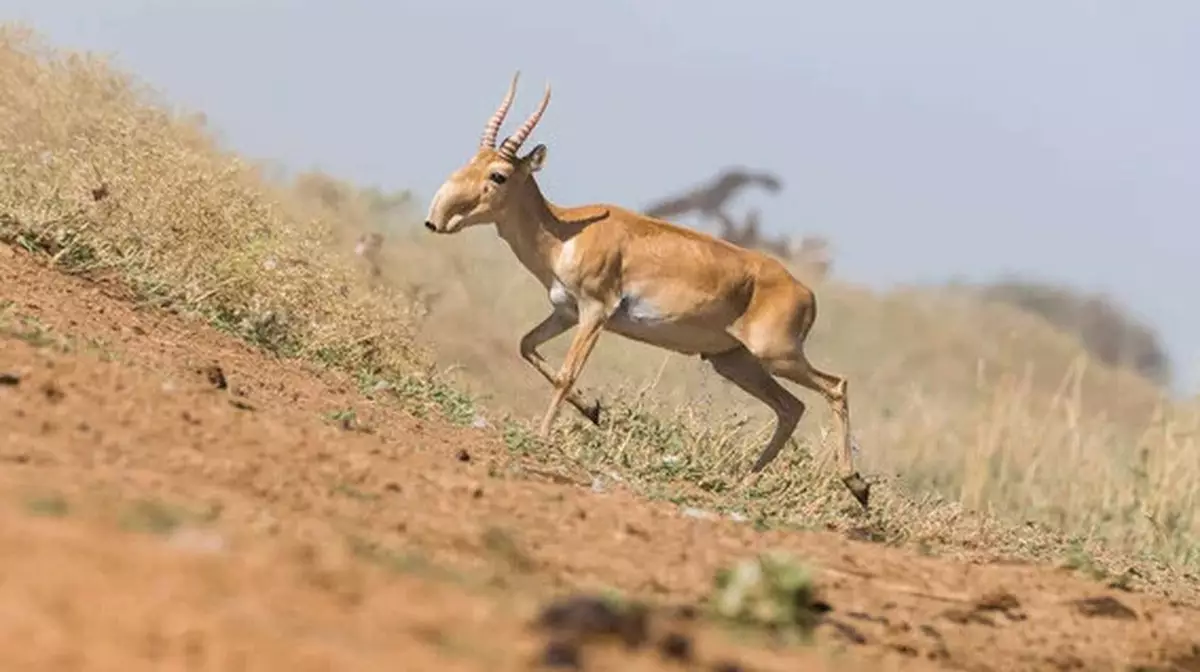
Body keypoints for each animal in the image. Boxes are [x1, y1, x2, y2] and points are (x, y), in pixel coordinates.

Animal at [422, 72, 873, 508]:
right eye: (471, 161)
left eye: (498, 175)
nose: (436, 219)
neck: (568, 232)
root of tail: (806, 293)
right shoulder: (564, 312)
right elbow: (526, 346)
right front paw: (594, 410)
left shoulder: (595, 312)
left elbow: (565, 374)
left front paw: (543, 434)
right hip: (733, 362)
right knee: (791, 407)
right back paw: (746, 483)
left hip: (777, 355)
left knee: (835, 386)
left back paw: (857, 486)